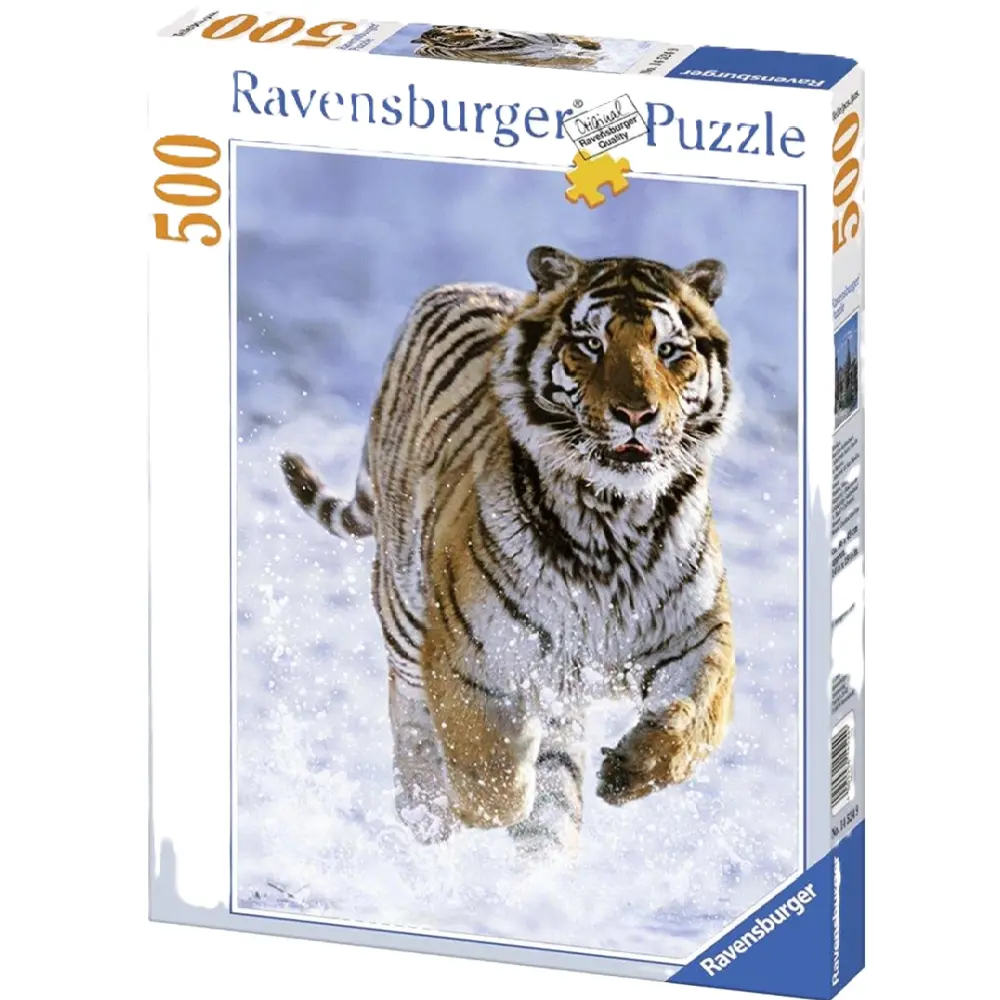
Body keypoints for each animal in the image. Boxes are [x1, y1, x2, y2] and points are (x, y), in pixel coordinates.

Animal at [281, 247, 737, 858]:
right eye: (590, 344)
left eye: (669, 350)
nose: (636, 415)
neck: (613, 519)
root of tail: (455, 285)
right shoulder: (470, 656)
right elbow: (493, 781)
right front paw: (472, 803)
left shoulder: (697, 635)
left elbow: (696, 717)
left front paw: (629, 771)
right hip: (404, 614)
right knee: (410, 716)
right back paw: (427, 815)